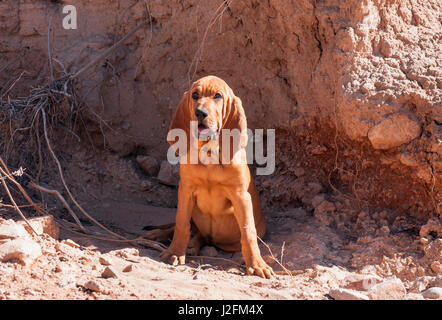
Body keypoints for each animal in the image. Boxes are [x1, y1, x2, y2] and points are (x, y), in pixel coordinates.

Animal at [145, 75, 274, 278]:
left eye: (217, 96)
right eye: (195, 95)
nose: (200, 113)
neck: (209, 153)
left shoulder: (241, 196)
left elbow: (248, 232)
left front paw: (257, 264)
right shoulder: (186, 190)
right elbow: (181, 224)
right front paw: (175, 252)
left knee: (204, 237)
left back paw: (192, 245)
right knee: (191, 229)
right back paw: (159, 236)